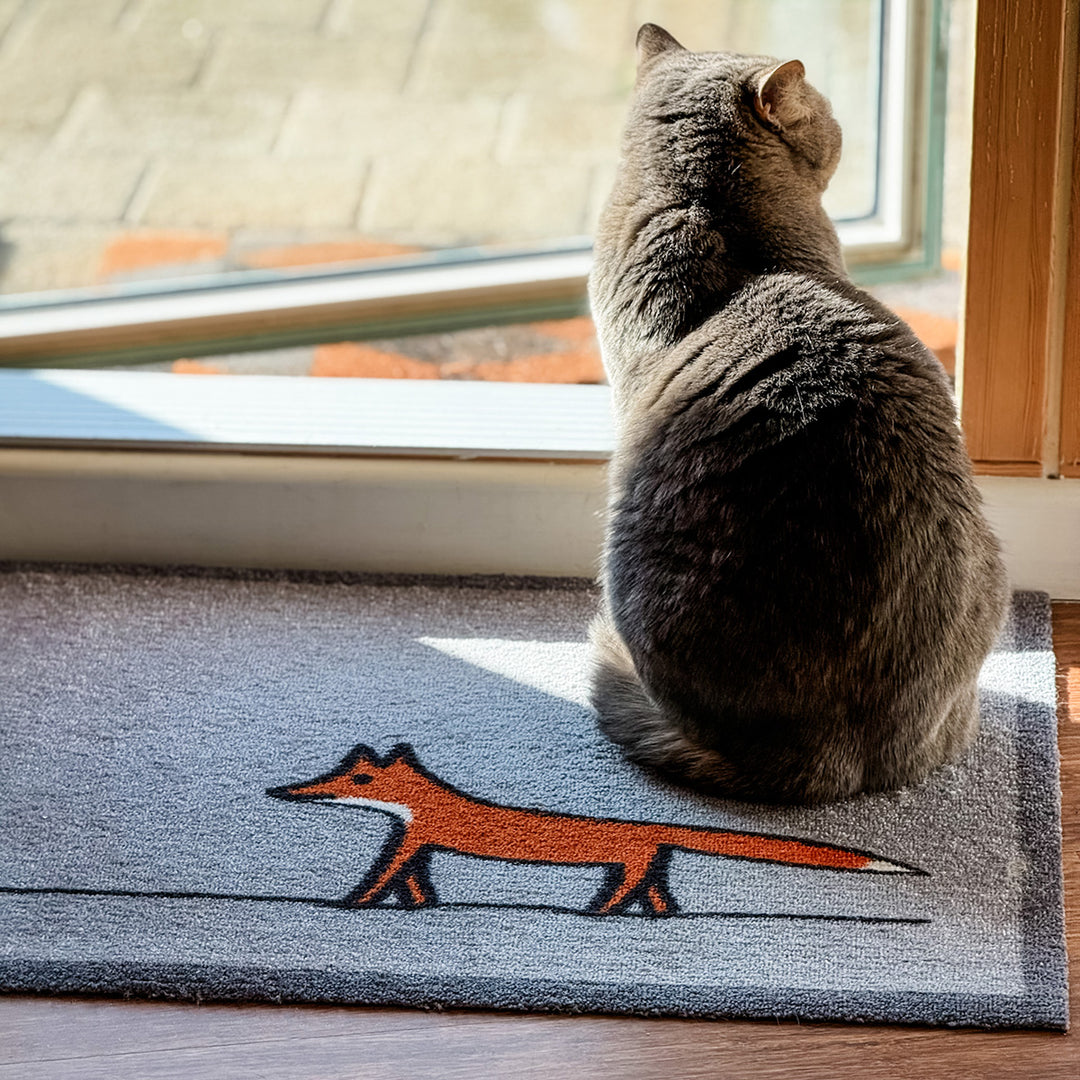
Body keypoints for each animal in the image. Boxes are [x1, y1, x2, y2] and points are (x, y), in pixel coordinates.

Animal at [267, 744, 923, 917]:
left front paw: (354, 905)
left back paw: (598, 913)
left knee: (626, 887)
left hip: (630, 859)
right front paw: (420, 906)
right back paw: (656, 916)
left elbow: (385, 877)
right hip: (649, 861)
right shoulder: (420, 842)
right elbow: (411, 881)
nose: (280, 792)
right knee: (653, 889)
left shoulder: (413, 836)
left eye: (355, 777)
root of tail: (654, 826)